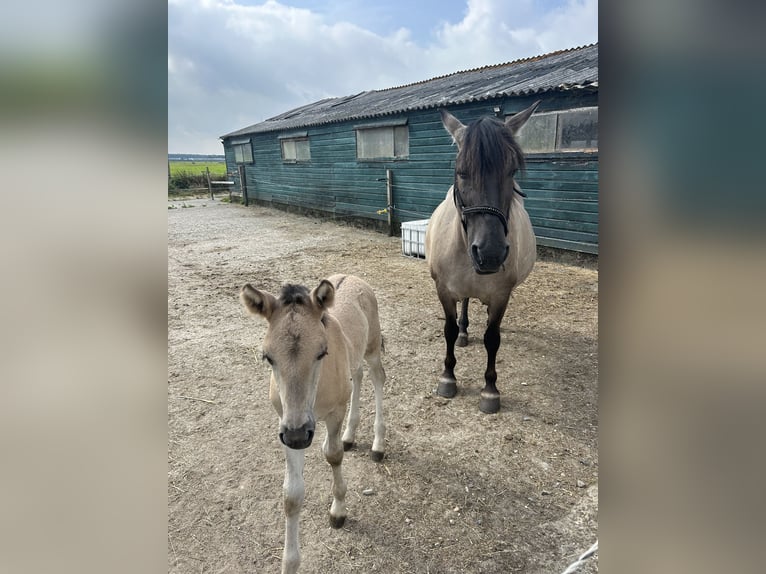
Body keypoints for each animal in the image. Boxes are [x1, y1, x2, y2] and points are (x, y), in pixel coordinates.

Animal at [240, 274, 388, 574]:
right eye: (267, 357)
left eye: (321, 352)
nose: (299, 436)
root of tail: (353, 276)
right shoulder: (285, 424)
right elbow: (291, 495)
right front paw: (289, 563)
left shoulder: (332, 413)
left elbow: (333, 455)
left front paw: (338, 511)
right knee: (357, 376)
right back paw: (350, 435)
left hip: (372, 346)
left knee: (377, 377)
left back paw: (377, 444)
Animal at [428, 103, 544, 416]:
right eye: (461, 172)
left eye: (511, 171)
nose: (490, 254)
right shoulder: (443, 290)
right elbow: (448, 329)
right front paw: (448, 377)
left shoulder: (502, 294)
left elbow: (493, 338)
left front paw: (490, 390)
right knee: (465, 304)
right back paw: (465, 332)